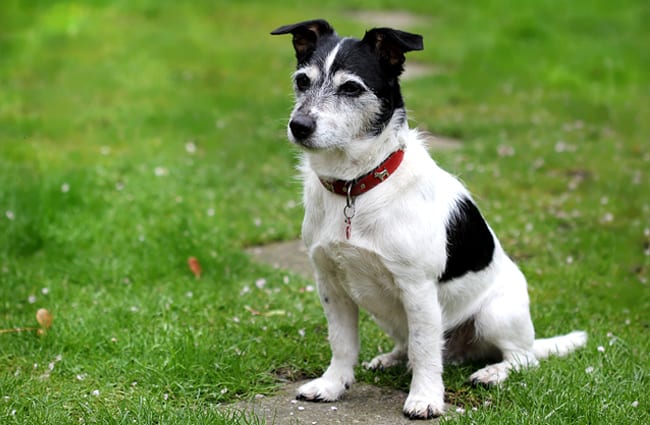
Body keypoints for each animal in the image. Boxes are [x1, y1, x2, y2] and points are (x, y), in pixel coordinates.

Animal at [270, 19, 584, 418]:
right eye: (302, 80)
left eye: (351, 87)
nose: (299, 125)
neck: (356, 185)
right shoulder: (331, 285)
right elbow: (342, 343)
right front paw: (332, 385)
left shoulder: (417, 288)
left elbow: (424, 350)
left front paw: (425, 398)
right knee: (414, 344)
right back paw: (391, 358)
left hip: (495, 314)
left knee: (521, 357)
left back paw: (493, 372)